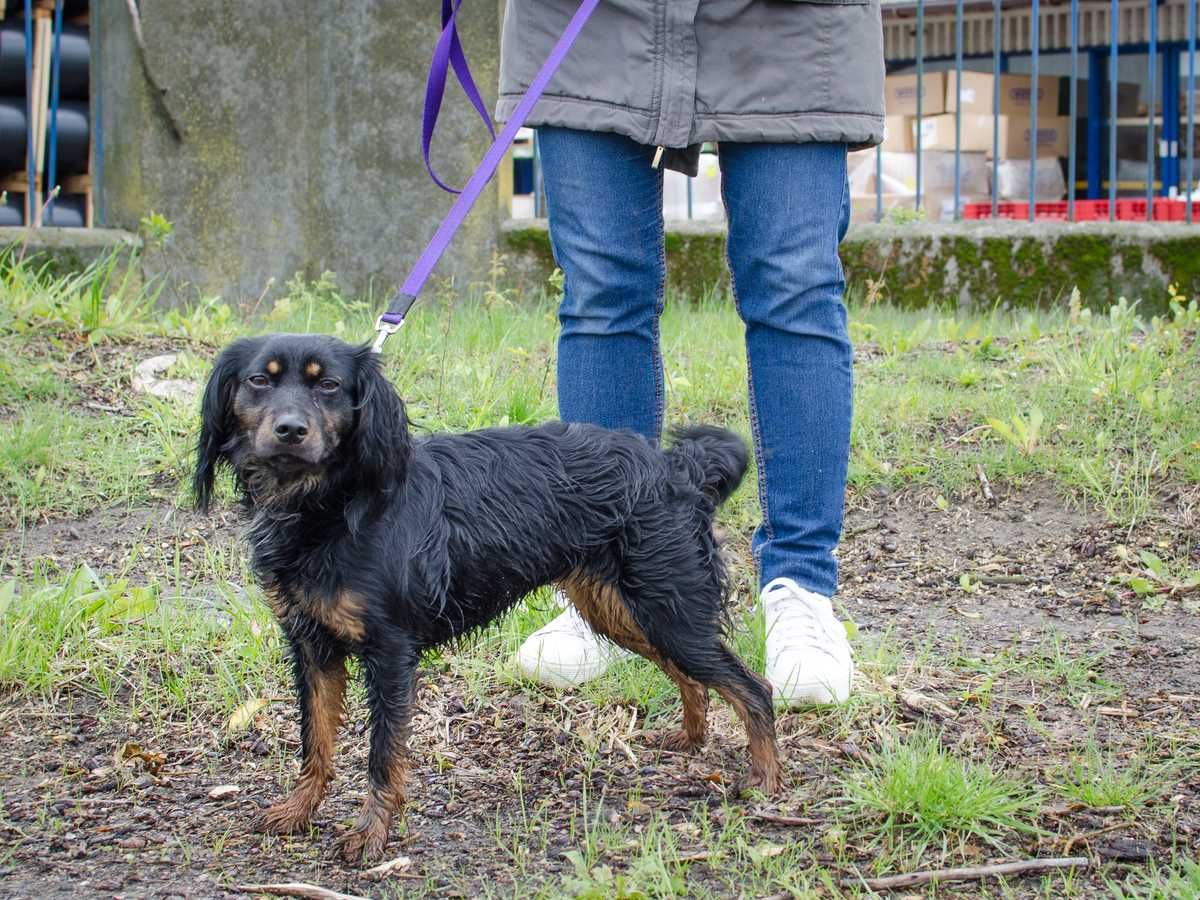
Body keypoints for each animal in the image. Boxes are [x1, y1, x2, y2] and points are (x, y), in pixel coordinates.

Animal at [196, 336, 777, 864]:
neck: (333, 504)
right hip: (623, 609)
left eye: (329, 386)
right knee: (694, 678)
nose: (291, 429)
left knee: (754, 687)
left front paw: (371, 835)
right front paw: (299, 810)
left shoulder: (390, 652)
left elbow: (383, 755)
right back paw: (691, 741)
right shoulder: (311, 645)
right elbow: (314, 741)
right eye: (259, 380)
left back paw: (765, 778)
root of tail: (677, 469)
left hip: (665, 608)